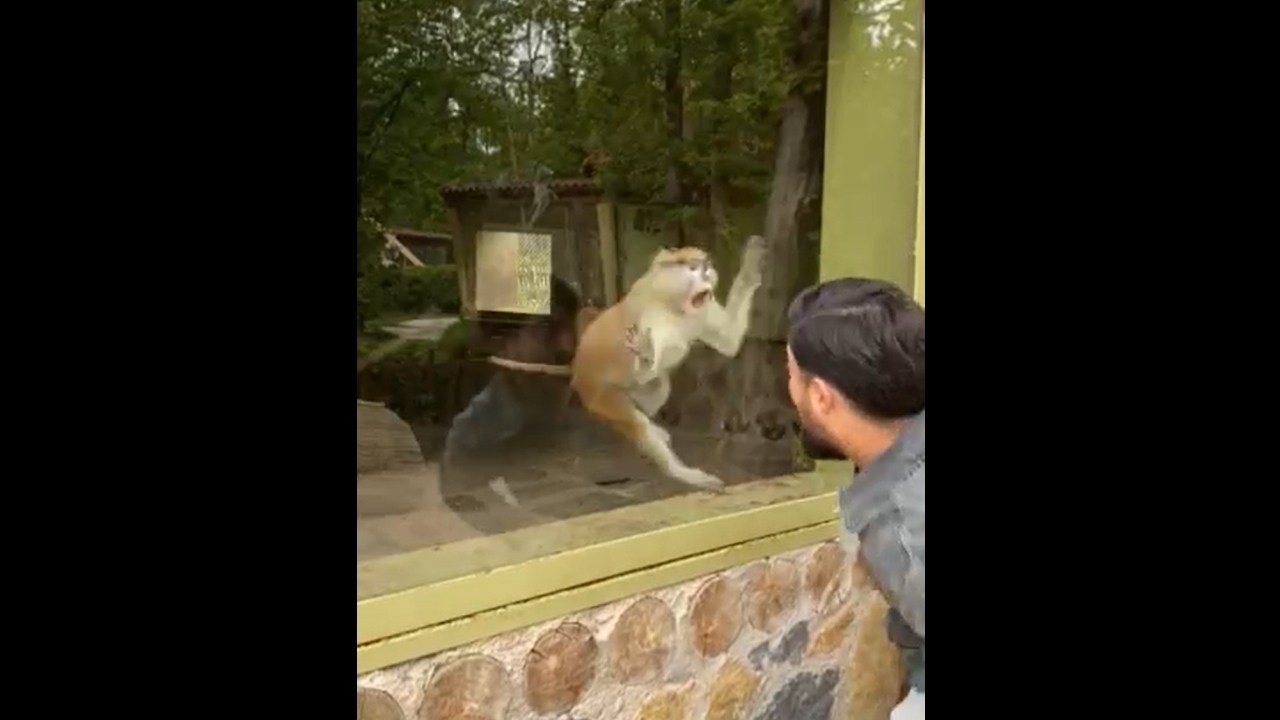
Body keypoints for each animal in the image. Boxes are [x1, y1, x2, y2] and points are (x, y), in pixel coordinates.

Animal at [569, 235, 767, 491]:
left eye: (705, 265)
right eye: (692, 267)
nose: (706, 271)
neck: (673, 302)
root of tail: (579, 376)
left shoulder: (702, 311)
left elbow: (729, 341)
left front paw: (751, 265)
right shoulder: (652, 317)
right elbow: (658, 355)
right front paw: (645, 357)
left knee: (658, 385)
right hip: (602, 397)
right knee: (637, 425)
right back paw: (684, 472)